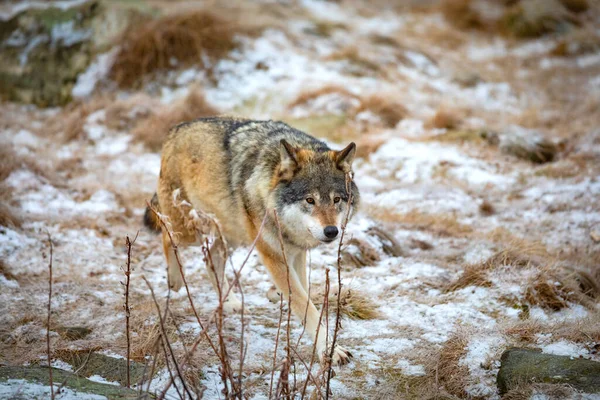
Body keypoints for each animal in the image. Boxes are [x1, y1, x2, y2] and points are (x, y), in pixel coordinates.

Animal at [144, 116, 360, 366]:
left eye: (336, 200)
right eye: (310, 200)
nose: (332, 231)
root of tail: (175, 129)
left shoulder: (296, 251)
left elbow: (303, 293)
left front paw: (278, 295)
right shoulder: (273, 255)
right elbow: (304, 303)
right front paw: (330, 350)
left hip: (230, 234)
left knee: (210, 258)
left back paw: (230, 302)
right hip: (190, 229)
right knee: (166, 235)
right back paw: (174, 280)